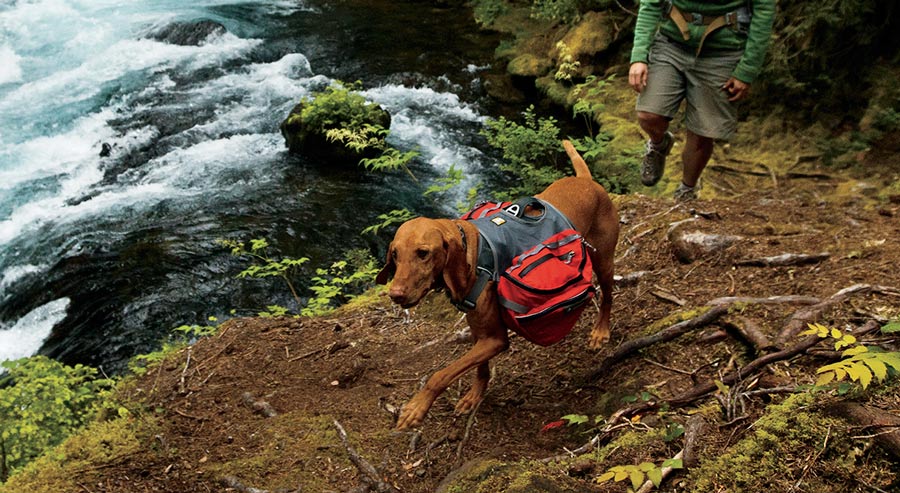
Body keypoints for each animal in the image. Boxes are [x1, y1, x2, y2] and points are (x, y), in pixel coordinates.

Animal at [374, 138, 620, 426]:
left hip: (604, 260)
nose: (396, 294)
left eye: (423, 253)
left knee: (608, 296)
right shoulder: (480, 331)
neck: (473, 251)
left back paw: (600, 331)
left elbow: (441, 374)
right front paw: (474, 395)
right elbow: (478, 368)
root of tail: (585, 180)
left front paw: (417, 407)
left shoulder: (496, 339)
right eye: (394, 254)